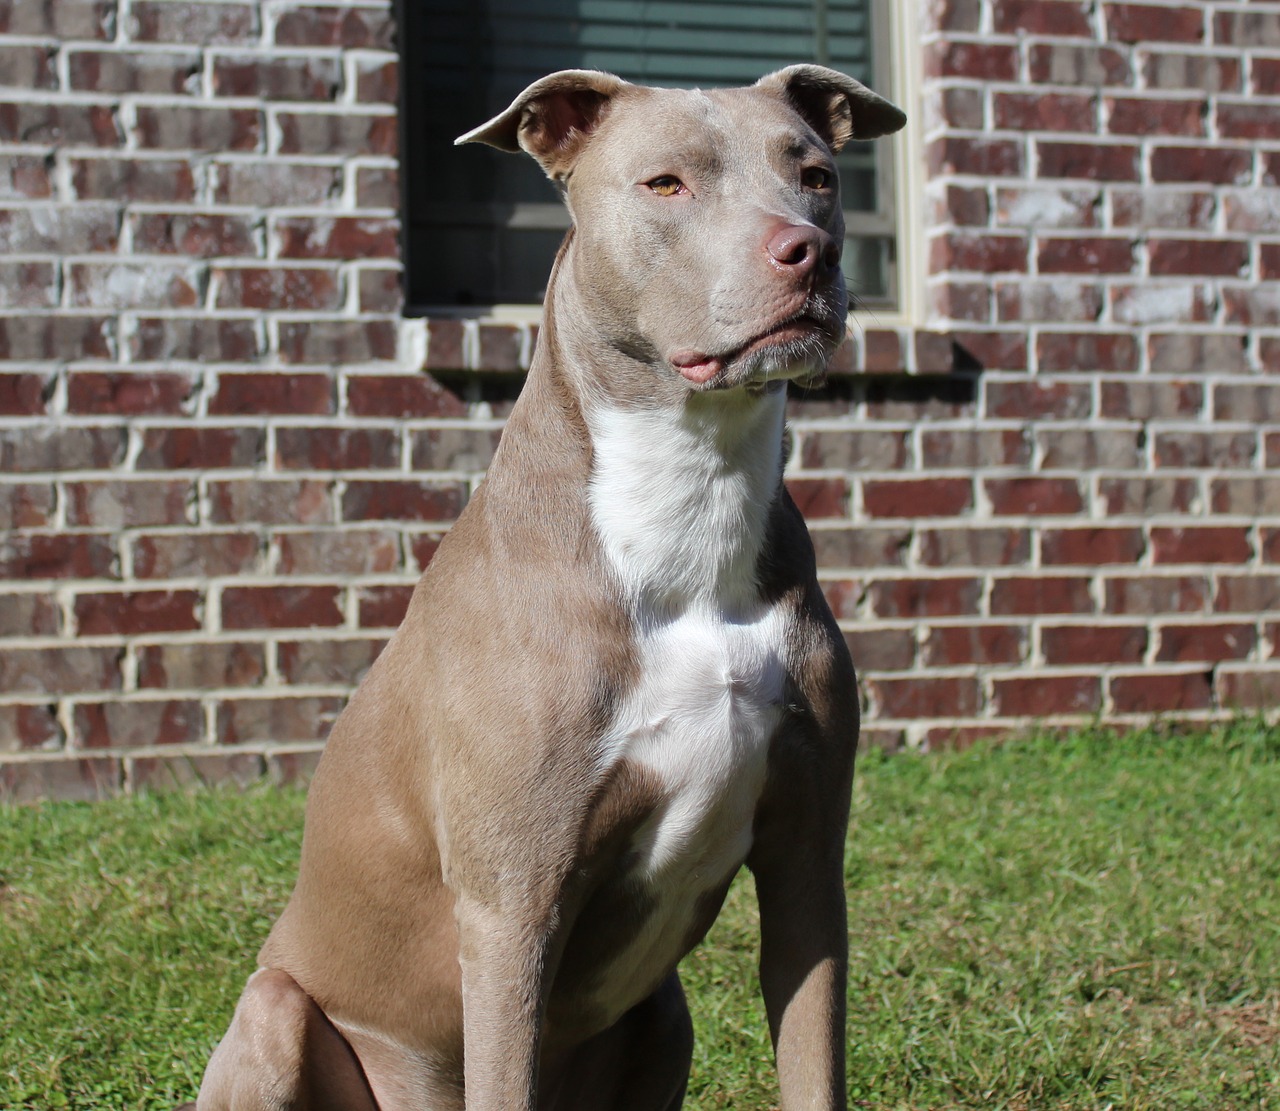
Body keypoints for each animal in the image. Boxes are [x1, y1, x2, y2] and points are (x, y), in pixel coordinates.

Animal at [194, 63, 906, 1111]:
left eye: (816, 175)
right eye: (665, 185)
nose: (807, 251)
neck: (688, 497)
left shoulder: (808, 867)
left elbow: (814, 1068)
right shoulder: (512, 902)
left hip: (666, 1015)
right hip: (276, 1010)